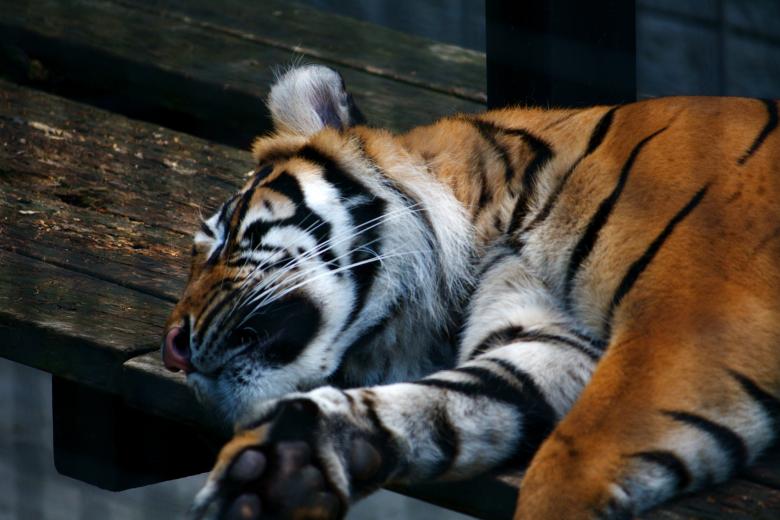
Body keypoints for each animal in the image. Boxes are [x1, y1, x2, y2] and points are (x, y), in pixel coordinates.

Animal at [161, 64, 780, 520]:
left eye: (221, 238)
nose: (172, 349)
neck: (499, 220)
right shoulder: (556, 338)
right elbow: (454, 399)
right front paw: (286, 461)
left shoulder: (692, 316)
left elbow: (568, 466)